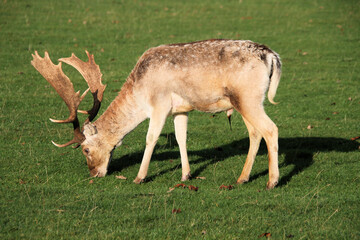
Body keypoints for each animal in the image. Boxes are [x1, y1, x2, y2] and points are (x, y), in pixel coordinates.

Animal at [31, 39, 282, 189]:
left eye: (85, 149)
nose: (93, 173)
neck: (140, 92)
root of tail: (272, 56)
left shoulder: (159, 104)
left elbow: (150, 138)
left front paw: (139, 177)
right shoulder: (180, 110)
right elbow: (181, 138)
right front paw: (186, 175)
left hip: (248, 98)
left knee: (271, 129)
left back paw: (272, 182)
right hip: (245, 101)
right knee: (255, 133)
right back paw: (242, 178)